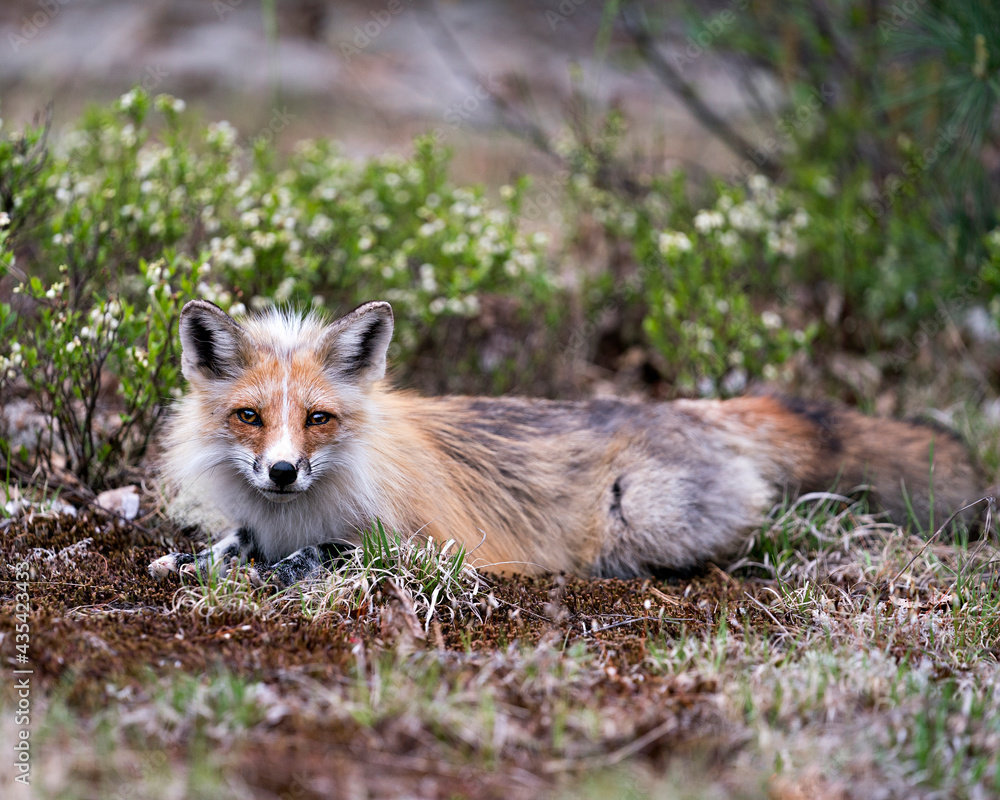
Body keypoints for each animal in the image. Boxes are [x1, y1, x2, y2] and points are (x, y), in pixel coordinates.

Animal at [149, 299, 987, 586]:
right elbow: (231, 543)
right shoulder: (258, 520)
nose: (283, 471)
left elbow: (323, 553)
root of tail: (692, 408)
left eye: (318, 419)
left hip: (643, 516)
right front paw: (191, 562)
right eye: (251, 417)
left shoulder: (428, 544)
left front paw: (274, 573)